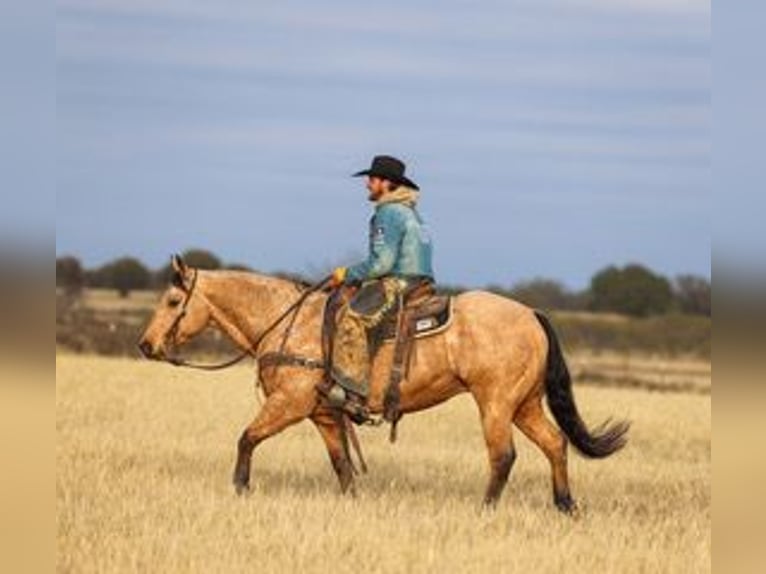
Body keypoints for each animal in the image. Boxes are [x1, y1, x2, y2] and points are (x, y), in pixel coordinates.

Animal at [138, 255, 629, 513]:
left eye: (174, 300)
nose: (146, 345)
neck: (287, 322)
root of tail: (531, 314)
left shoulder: (288, 404)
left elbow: (246, 438)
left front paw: (240, 488)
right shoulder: (323, 414)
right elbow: (342, 465)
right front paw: (352, 502)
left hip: (495, 403)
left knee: (503, 455)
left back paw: (486, 509)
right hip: (524, 404)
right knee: (555, 445)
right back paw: (566, 506)